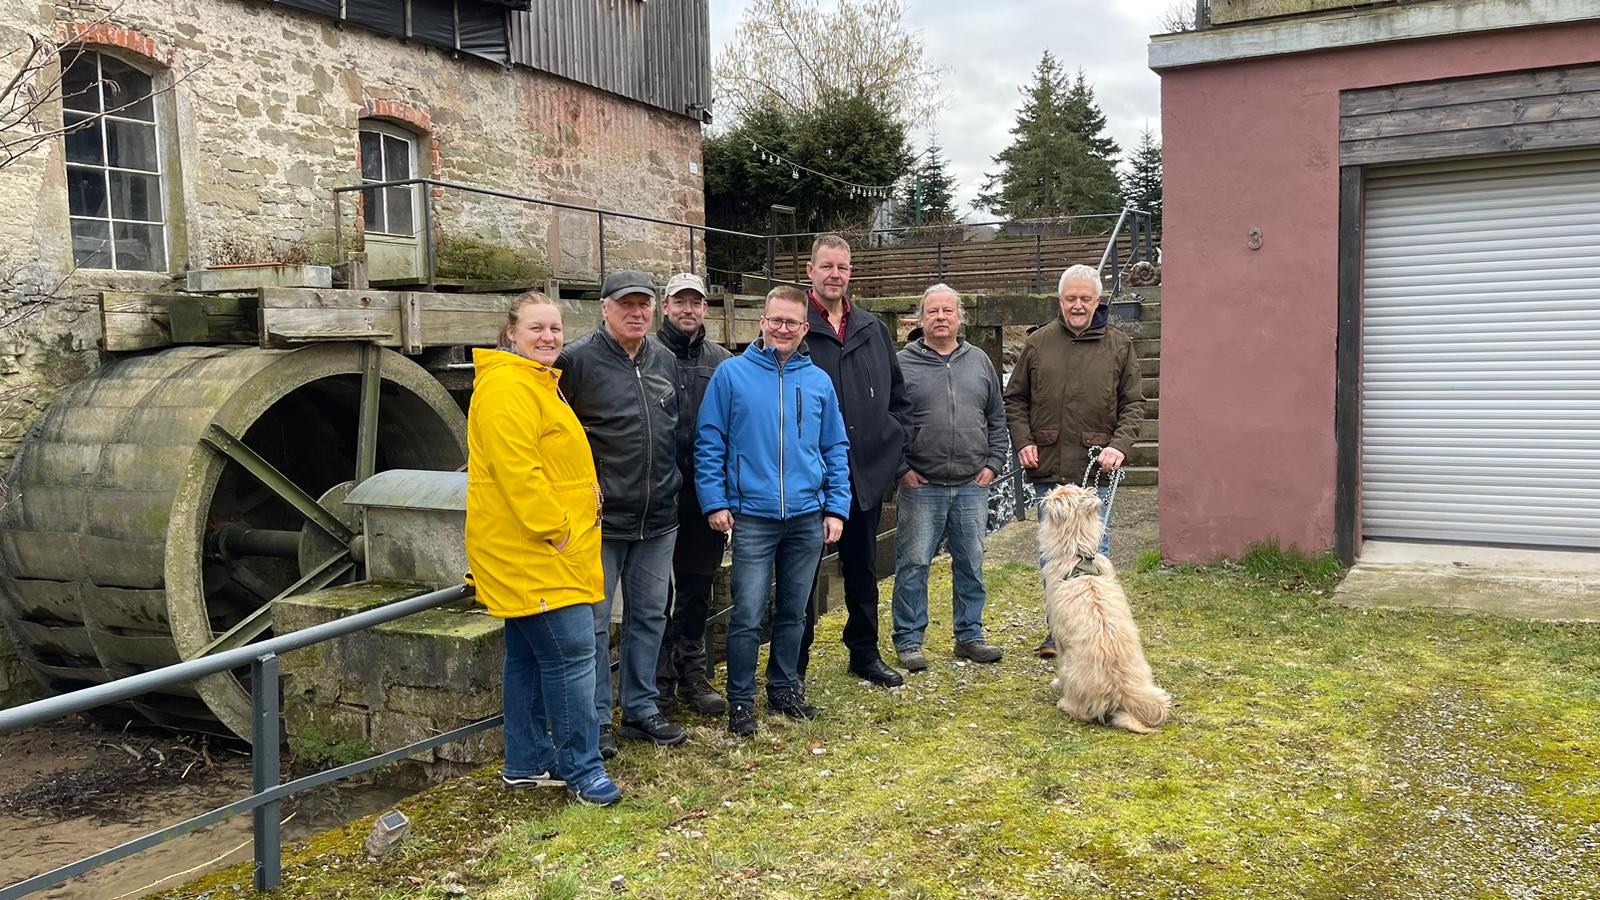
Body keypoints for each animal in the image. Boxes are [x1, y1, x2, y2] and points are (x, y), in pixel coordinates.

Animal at [1036, 483, 1164, 730]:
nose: (1044, 498)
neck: (1077, 554)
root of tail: (1119, 693)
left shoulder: (1060, 637)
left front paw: (1057, 683)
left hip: (1074, 673)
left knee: (1083, 711)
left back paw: (1065, 703)